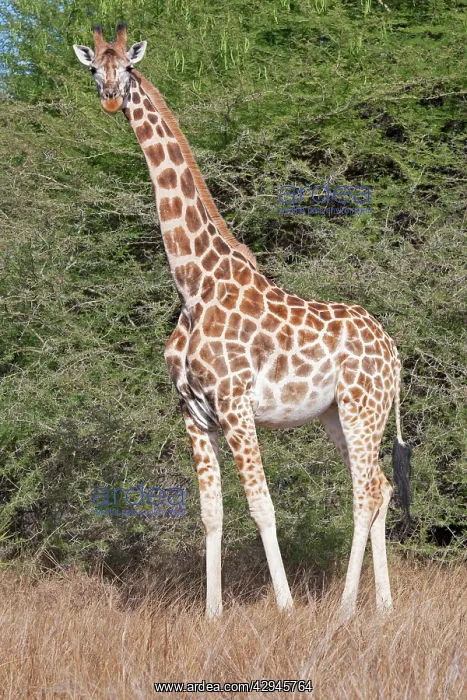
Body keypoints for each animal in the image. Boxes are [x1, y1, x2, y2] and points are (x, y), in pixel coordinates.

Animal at [74, 24, 412, 620]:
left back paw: (346, 607)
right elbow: (211, 511)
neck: (194, 285)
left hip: (361, 408)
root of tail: (394, 353)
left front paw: (286, 608)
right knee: (379, 486)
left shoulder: (234, 404)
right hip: (339, 415)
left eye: (129, 68)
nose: (112, 97)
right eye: (95, 68)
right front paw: (212, 614)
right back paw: (382, 608)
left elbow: (262, 505)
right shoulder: (193, 411)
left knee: (366, 492)